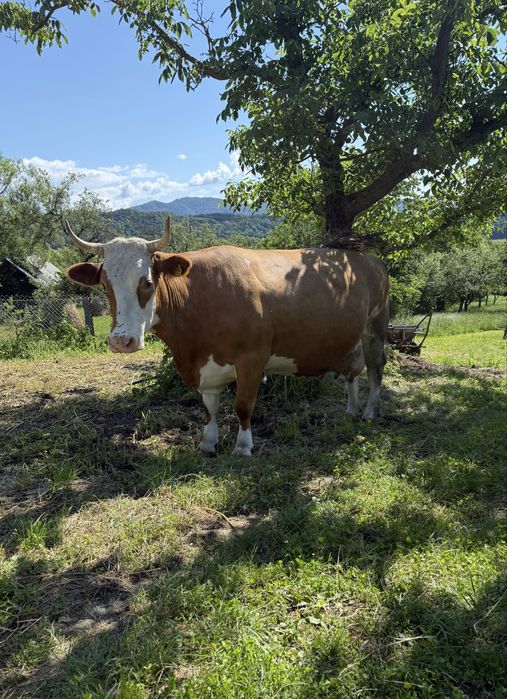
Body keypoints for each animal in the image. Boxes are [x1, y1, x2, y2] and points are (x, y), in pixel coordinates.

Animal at [65, 218, 389, 456]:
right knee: (352, 372)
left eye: (146, 282)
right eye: (105, 284)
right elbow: (209, 408)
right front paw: (208, 442)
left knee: (375, 368)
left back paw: (370, 412)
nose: (121, 340)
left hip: (376, 324)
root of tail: (368, 260)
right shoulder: (205, 365)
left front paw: (243, 447)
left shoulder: (251, 359)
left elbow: (243, 406)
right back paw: (351, 409)